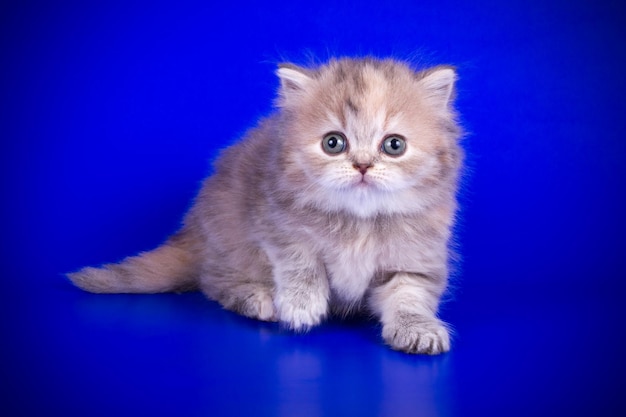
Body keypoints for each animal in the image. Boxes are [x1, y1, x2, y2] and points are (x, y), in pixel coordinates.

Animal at [68, 56, 460, 354]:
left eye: (394, 145)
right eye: (333, 143)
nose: (362, 166)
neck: (357, 222)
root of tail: (194, 229)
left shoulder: (415, 259)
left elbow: (408, 296)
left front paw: (418, 329)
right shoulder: (274, 223)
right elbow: (301, 263)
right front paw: (301, 304)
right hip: (230, 236)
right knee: (214, 282)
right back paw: (261, 300)